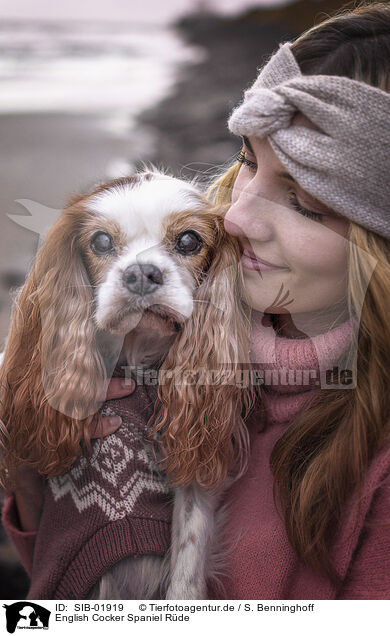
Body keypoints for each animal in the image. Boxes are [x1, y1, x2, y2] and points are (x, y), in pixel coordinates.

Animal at [0, 169, 256, 596]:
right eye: (101, 241)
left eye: (189, 240)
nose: (141, 273)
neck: (135, 356)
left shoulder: (192, 477)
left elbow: (186, 567)